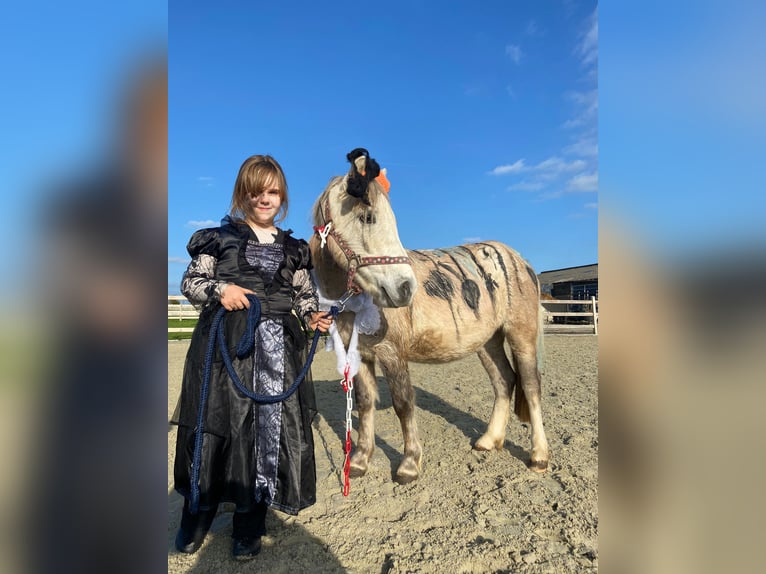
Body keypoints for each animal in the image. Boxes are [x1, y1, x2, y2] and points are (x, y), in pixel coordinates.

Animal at [308, 150, 548, 486]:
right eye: (367, 217)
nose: (405, 289)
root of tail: (519, 260)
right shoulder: (362, 354)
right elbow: (366, 404)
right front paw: (359, 461)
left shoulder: (392, 354)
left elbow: (403, 404)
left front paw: (409, 463)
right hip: (487, 343)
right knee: (504, 381)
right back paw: (488, 440)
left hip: (520, 335)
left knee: (529, 384)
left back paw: (539, 456)